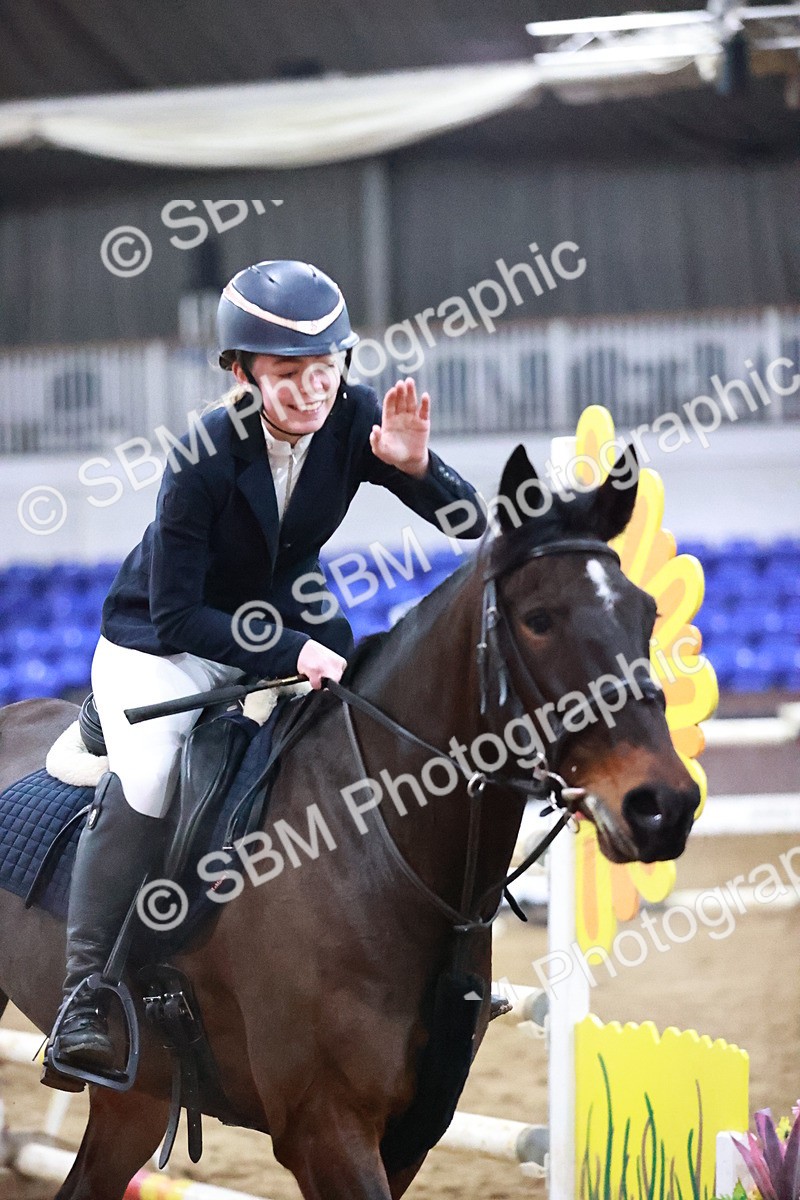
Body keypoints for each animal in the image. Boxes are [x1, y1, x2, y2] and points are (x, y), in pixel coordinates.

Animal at [0, 445, 700, 1200]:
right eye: (539, 618)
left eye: (647, 613)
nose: (663, 806)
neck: (382, 851)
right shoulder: (325, 1126)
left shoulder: (409, 1136)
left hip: (140, 1094)